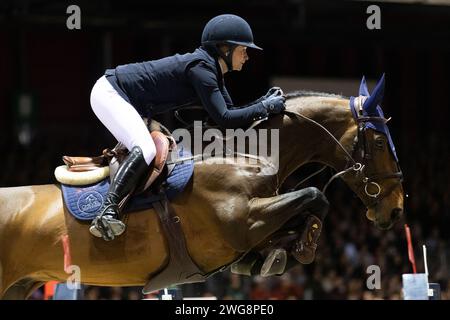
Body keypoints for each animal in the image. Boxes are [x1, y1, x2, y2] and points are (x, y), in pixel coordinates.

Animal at [0, 75, 402, 300]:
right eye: (380, 142)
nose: (396, 209)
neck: (245, 154)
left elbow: (300, 210)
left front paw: (272, 256)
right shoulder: (242, 222)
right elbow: (315, 196)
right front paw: (301, 247)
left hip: (18, 286)